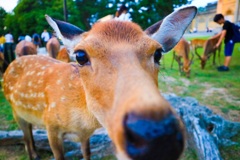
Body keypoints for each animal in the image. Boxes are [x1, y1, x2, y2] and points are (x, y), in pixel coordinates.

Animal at [2, 6, 197, 160]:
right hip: (14, 109)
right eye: (80, 55)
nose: (156, 136)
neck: (80, 123)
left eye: (158, 53)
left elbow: (87, 154)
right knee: (26, 135)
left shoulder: (85, 136)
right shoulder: (51, 125)